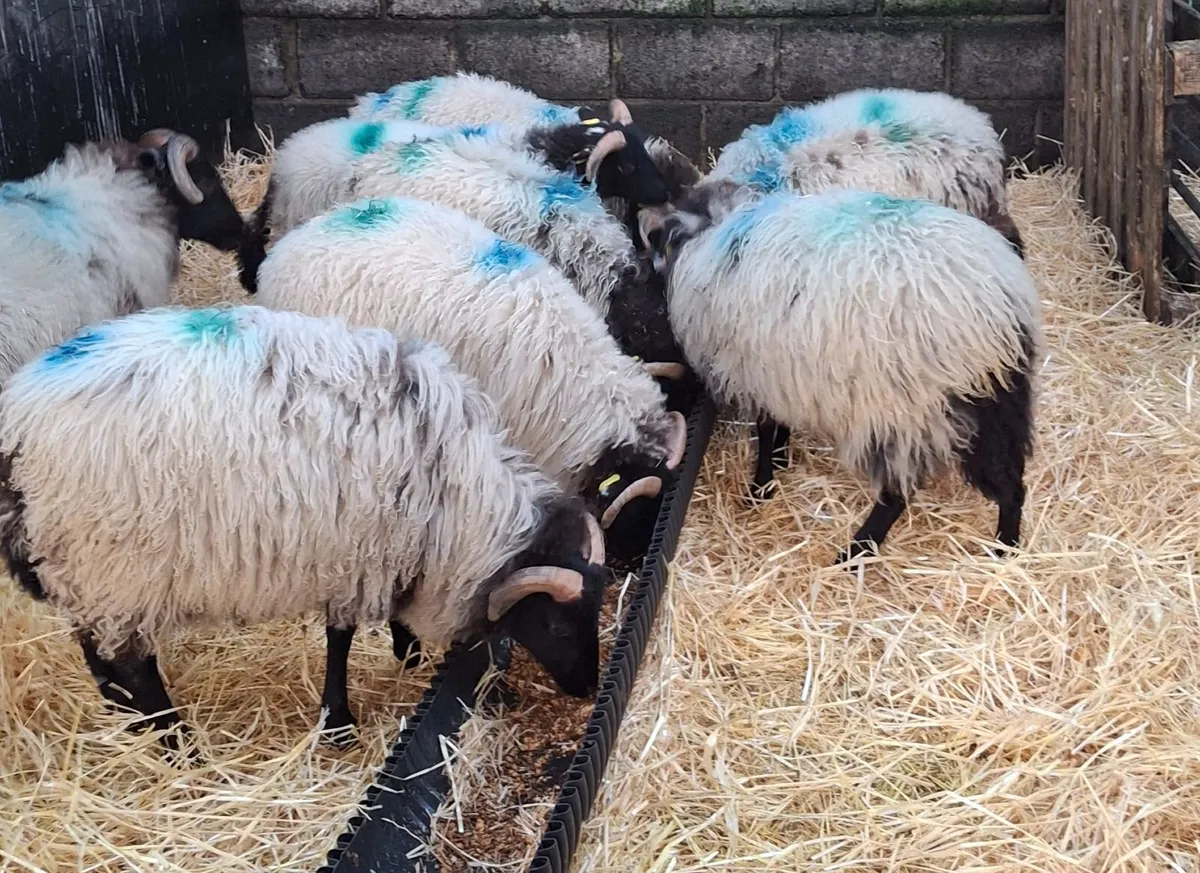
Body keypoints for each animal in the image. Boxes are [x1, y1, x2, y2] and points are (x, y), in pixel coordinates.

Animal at [0, 304, 609, 749]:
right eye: (556, 627)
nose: (586, 688)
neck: (454, 497)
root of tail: (17, 430)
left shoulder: (389, 548)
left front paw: (407, 654)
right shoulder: (359, 553)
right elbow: (340, 638)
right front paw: (338, 722)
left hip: (77, 561)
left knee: (94, 645)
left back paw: (123, 713)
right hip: (115, 561)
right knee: (135, 662)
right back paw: (177, 744)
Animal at [638, 181, 1042, 563]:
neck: (715, 234)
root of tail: (992, 307)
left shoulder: (754, 369)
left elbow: (766, 429)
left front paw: (761, 486)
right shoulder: (777, 370)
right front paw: (780, 462)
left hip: (901, 408)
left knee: (897, 493)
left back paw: (855, 552)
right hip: (994, 396)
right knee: (1011, 481)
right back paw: (1005, 550)